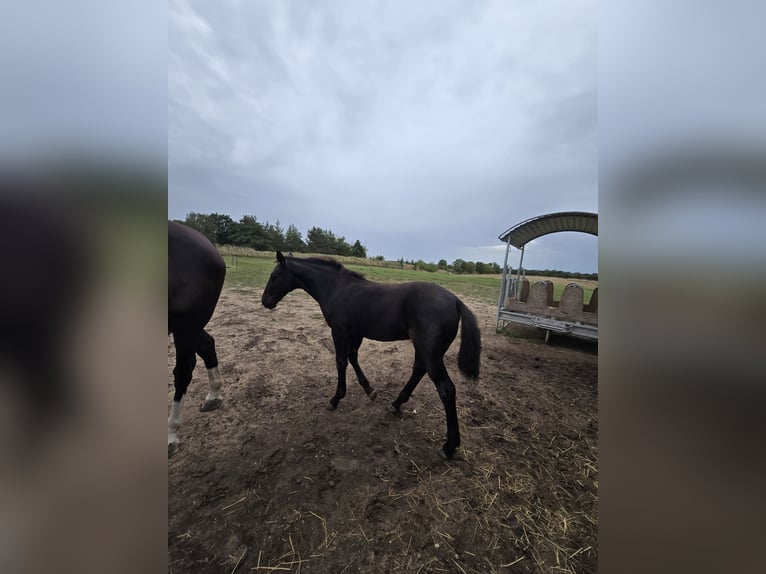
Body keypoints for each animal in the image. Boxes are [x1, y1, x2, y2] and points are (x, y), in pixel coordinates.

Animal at [261, 252, 481, 459]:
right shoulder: (356, 333)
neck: (337, 289)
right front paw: (370, 390)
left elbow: (341, 362)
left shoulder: (339, 332)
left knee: (446, 389)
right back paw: (396, 404)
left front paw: (335, 399)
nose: (265, 302)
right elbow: (352, 358)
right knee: (419, 370)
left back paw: (448, 447)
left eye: (275, 276)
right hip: (423, 349)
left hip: (431, 352)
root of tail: (456, 301)